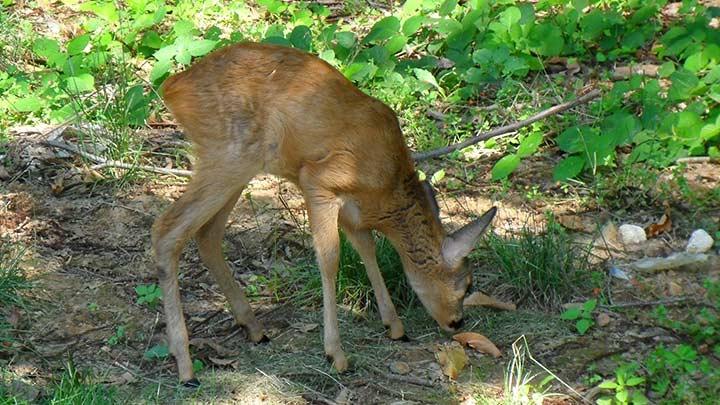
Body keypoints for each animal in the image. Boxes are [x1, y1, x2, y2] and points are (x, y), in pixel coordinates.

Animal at [153, 41, 498, 386]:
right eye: (466, 285)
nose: (456, 322)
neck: (387, 190)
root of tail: (172, 87)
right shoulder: (319, 180)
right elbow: (331, 259)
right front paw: (336, 354)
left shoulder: (353, 212)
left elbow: (367, 250)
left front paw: (395, 326)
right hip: (229, 154)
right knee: (166, 229)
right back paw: (185, 364)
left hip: (238, 166)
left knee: (206, 234)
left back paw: (253, 328)